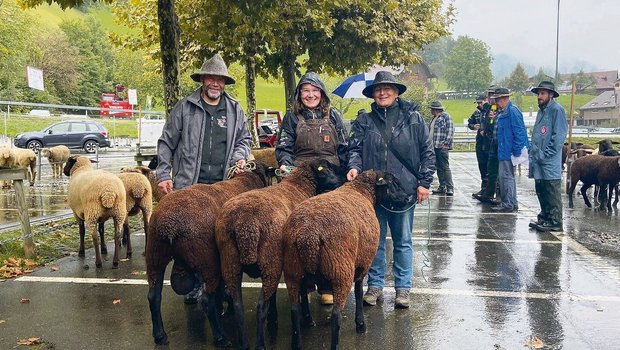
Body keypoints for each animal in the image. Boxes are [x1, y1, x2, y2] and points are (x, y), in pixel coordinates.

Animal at [145, 162, 274, 348]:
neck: (248, 179)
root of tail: (168, 224)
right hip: (207, 260)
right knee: (206, 300)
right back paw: (221, 337)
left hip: (155, 255)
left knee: (154, 296)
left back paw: (160, 335)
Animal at [216, 159, 346, 350]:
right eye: (327, 169)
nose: (346, 178)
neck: (299, 187)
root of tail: (244, 223)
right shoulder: (292, 261)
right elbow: (301, 290)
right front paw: (307, 319)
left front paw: (275, 318)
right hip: (269, 261)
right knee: (260, 306)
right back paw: (260, 344)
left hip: (231, 263)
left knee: (239, 305)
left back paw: (244, 343)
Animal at [282, 170, 410, 350]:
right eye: (393, 182)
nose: (408, 198)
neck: (361, 191)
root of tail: (308, 236)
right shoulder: (363, 263)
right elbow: (358, 293)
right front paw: (361, 324)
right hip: (340, 271)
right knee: (336, 314)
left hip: (293, 271)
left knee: (294, 309)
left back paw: (300, 338)